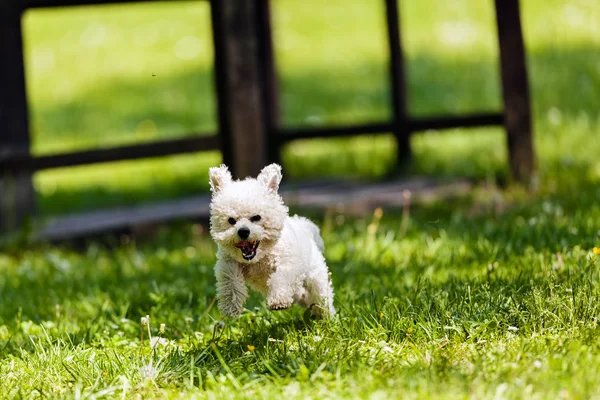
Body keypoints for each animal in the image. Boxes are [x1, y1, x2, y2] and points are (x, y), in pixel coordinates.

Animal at [209, 162, 336, 318]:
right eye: (231, 220)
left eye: (256, 217)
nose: (243, 231)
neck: (260, 257)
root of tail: (304, 225)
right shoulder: (228, 263)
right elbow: (230, 281)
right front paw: (230, 306)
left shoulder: (289, 263)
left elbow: (282, 276)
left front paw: (278, 300)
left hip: (315, 275)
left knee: (322, 295)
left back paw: (327, 315)